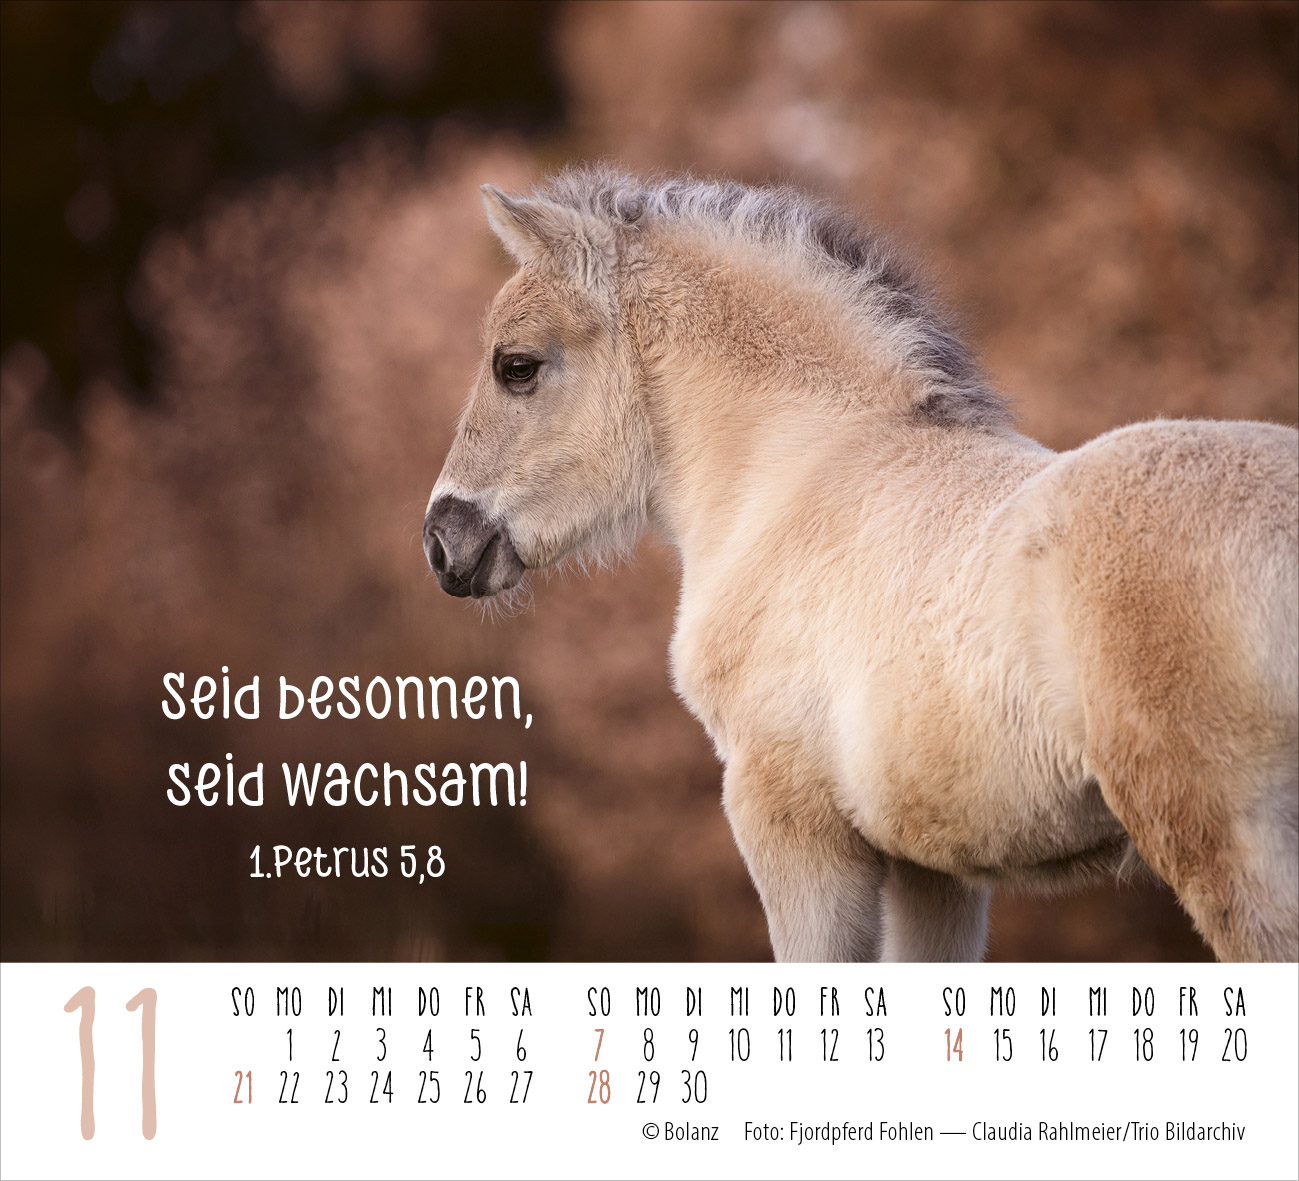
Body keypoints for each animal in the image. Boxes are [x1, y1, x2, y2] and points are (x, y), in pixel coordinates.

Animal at [422, 167, 1299, 962]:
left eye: (517, 365)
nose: (442, 540)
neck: (799, 477)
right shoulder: (933, 865)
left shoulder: (788, 823)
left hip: (1221, 839)